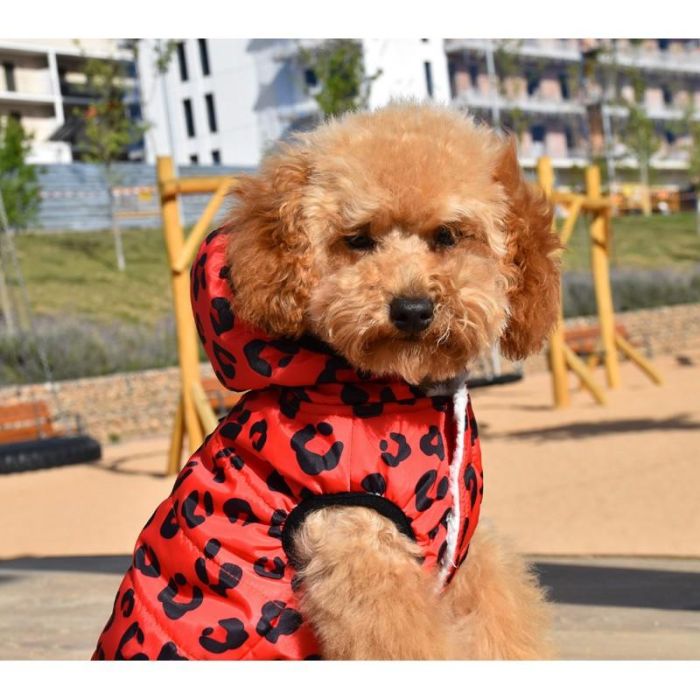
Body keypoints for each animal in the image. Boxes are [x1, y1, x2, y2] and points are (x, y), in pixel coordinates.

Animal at [93, 101, 560, 660]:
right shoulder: (357, 549)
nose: (411, 309)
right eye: (358, 240)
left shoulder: (462, 556)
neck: (398, 390)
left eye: (447, 235)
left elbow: (503, 624)